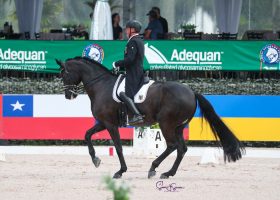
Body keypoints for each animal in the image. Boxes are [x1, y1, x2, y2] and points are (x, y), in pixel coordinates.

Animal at [55, 57, 244, 179]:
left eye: (64, 74)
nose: (68, 95)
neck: (101, 84)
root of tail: (191, 92)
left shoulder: (109, 124)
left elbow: (118, 147)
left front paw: (120, 171)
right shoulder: (103, 122)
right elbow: (87, 135)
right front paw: (95, 159)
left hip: (166, 124)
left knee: (172, 146)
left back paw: (153, 168)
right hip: (178, 127)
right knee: (181, 149)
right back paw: (168, 173)